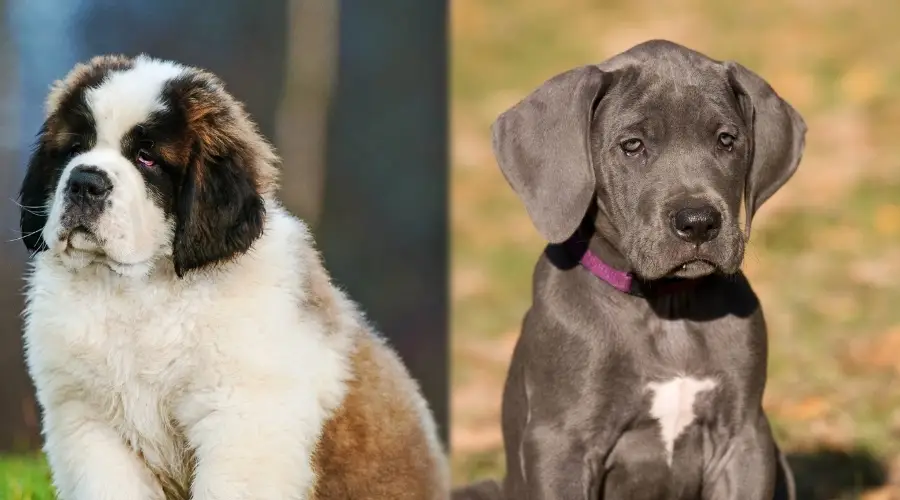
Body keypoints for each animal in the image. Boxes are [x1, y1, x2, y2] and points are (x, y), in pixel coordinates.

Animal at [14, 54, 450, 500]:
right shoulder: (90, 423)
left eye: (147, 158)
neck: (140, 291)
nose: (84, 181)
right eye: (74, 149)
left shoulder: (241, 420)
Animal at [454, 40, 804, 500]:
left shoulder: (743, 439)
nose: (698, 222)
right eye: (632, 145)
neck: (667, 305)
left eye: (727, 140)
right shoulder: (561, 443)